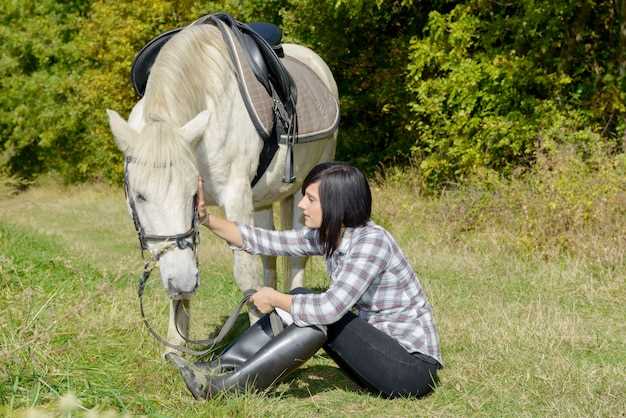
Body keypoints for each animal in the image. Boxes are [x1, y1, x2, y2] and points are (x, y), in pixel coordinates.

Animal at [106, 23, 336, 352]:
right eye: (140, 196)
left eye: (192, 194)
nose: (183, 281)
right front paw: (175, 348)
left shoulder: (236, 196)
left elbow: (246, 274)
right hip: (264, 199)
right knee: (269, 254)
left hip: (306, 190)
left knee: (296, 258)